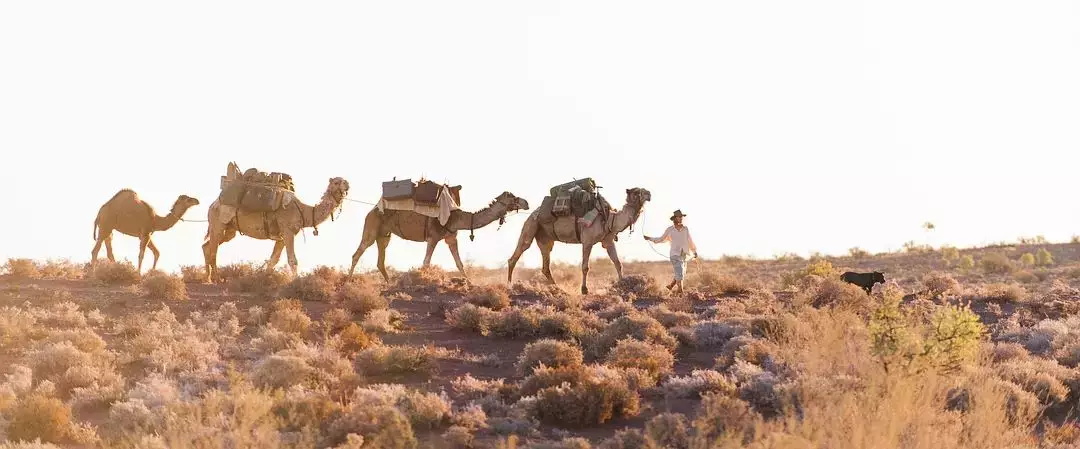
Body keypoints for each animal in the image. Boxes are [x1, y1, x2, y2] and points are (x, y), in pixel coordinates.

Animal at [203, 177, 349, 282]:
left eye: (344, 180)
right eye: (336, 182)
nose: (347, 184)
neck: (304, 211)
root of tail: (213, 204)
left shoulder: (282, 236)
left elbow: (274, 259)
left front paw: (265, 279)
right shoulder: (288, 231)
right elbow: (292, 260)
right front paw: (295, 282)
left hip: (229, 229)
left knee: (207, 246)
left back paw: (208, 278)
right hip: (218, 222)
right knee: (213, 249)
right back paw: (217, 279)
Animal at [347, 192, 529, 280]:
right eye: (513, 197)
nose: (526, 202)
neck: (456, 218)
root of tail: (371, 211)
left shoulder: (451, 238)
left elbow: (459, 264)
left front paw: (470, 283)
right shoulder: (433, 237)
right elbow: (426, 262)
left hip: (384, 234)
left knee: (380, 260)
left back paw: (389, 283)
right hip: (371, 228)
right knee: (357, 253)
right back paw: (348, 282)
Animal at [505, 186, 648, 293]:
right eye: (636, 192)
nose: (649, 194)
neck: (610, 219)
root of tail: (532, 214)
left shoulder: (608, 241)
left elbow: (618, 263)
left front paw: (623, 284)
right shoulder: (587, 241)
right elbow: (585, 267)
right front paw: (584, 290)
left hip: (545, 239)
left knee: (545, 265)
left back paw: (558, 289)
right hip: (531, 226)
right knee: (517, 254)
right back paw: (509, 286)